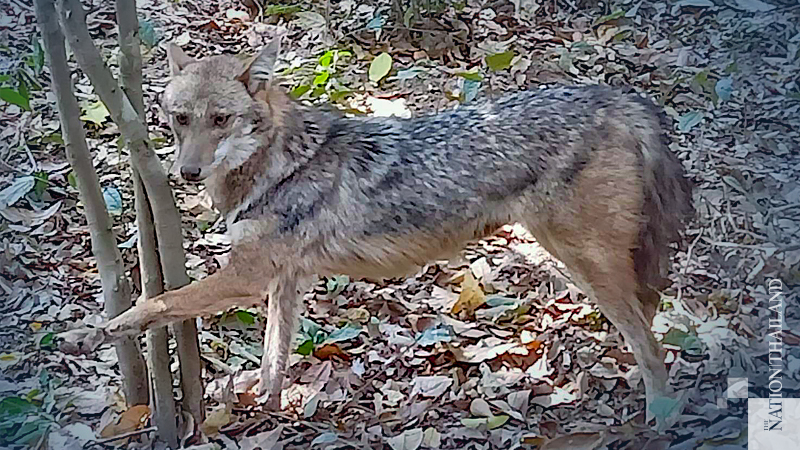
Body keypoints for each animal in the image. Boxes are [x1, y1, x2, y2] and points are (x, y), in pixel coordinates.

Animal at [104, 38, 693, 422]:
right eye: (181, 119)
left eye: (221, 121)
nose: (187, 173)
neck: (278, 164)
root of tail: (619, 96)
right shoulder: (284, 280)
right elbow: (274, 359)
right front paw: (266, 412)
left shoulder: (248, 277)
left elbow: (162, 301)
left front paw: (104, 328)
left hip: (583, 263)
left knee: (651, 344)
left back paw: (662, 417)